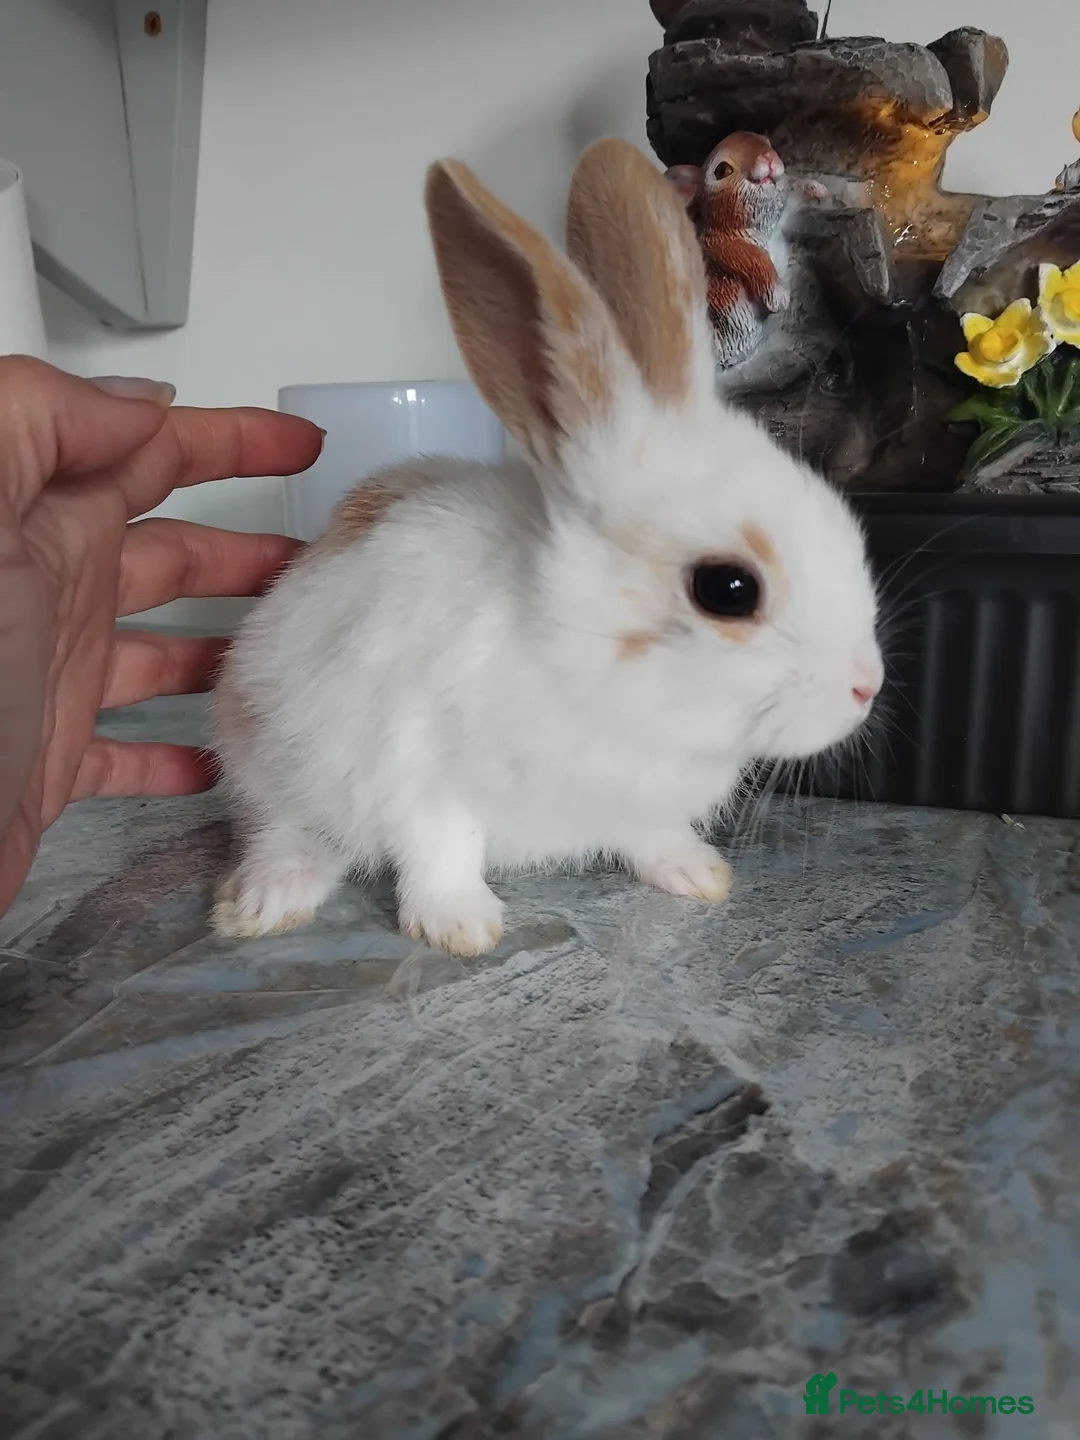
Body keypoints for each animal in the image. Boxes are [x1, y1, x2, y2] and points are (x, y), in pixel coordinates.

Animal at [211, 138, 883, 957]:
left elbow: (653, 835)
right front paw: (460, 927)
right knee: (286, 826)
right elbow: (443, 849)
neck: (572, 649)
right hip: (266, 745)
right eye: (728, 589)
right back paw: (266, 899)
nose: (867, 687)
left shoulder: (640, 803)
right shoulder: (418, 771)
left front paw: (698, 874)